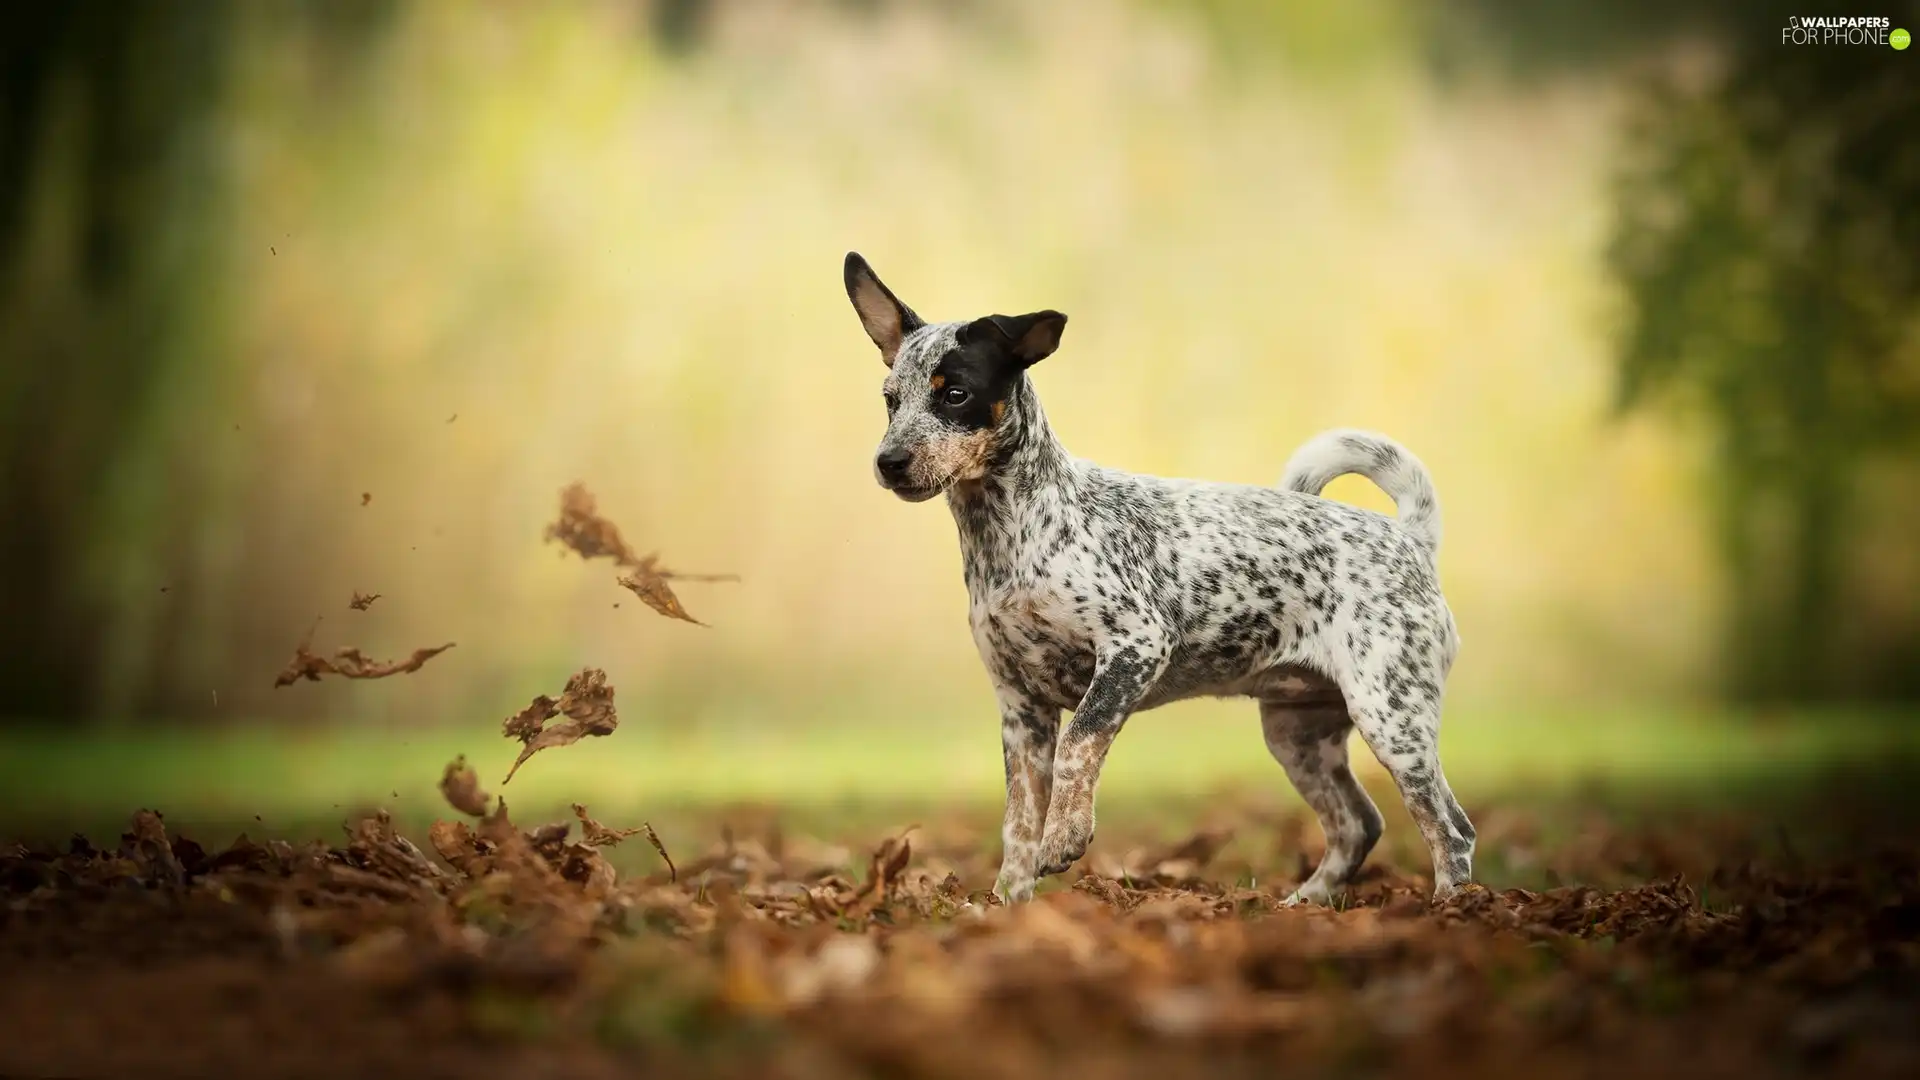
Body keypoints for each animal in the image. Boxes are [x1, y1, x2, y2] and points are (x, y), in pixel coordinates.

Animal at [848, 249, 1474, 899]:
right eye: (891, 399)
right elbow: (1017, 825)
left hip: (1392, 719)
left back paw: (1449, 907)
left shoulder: (1135, 648)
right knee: (1358, 822)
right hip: (1297, 734)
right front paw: (1006, 903)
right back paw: (1303, 903)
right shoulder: (1020, 707)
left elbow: (1079, 743)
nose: (889, 462)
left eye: (956, 394)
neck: (1015, 535)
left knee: (1451, 832)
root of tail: (1411, 538)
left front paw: (1065, 838)